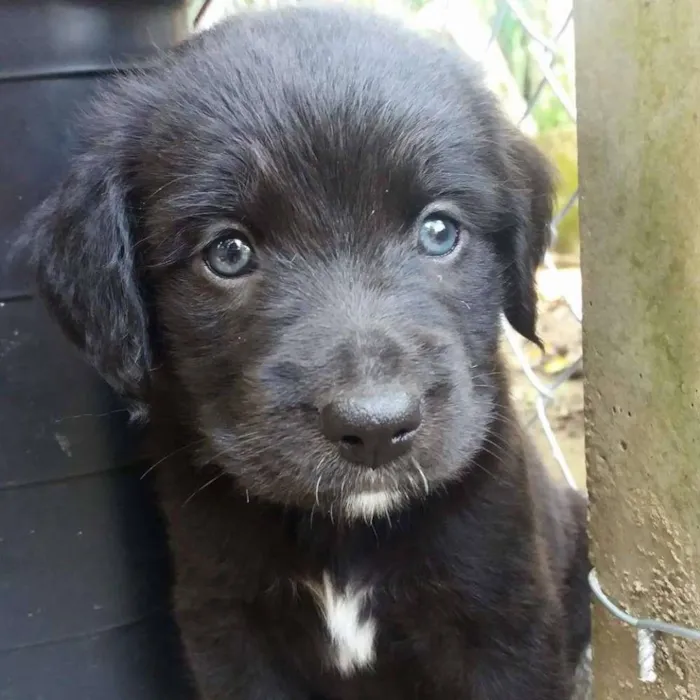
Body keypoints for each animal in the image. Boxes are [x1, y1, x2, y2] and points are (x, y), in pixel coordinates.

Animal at [23, 2, 592, 696]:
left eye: (439, 231)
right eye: (228, 252)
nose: (375, 429)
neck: (345, 528)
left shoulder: (502, 623)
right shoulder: (224, 623)